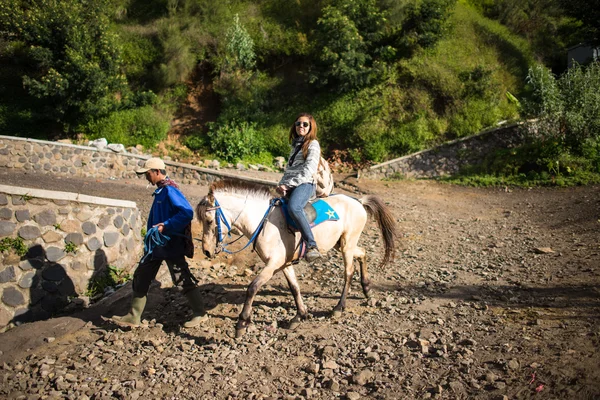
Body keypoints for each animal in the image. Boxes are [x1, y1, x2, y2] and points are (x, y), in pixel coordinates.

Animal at [195, 180, 396, 340]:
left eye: (209, 220)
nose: (206, 251)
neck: (264, 222)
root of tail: (358, 202)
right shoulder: (284, 264)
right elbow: (294, 287)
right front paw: (300, 316)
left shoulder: (273, 264)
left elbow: (252, 287)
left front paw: (241, 324)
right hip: (342, 244)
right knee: (362, 253)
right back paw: (367, 290)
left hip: (347, 244)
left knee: (348, 272)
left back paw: (339, 307)